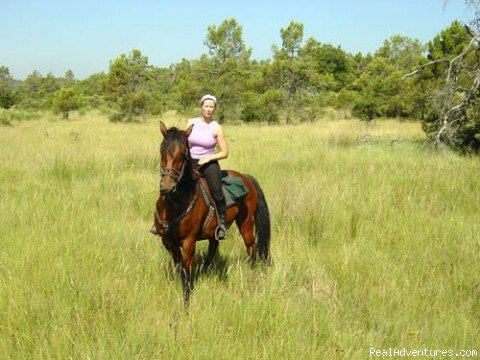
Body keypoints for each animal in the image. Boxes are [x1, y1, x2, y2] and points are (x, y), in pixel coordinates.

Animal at [155, 121, 272, 304]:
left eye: (183, 154)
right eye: (162, 151)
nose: (166, 187)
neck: (175, 203)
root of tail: (245, 177)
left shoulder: (189, 242)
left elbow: (186, 272)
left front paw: (186, 302)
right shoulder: (167, 240)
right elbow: (179, 266)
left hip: (246, 224)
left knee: (251, 248)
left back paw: (251, 274)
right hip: (214, 230)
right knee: (214, 247)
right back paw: (205, 270)